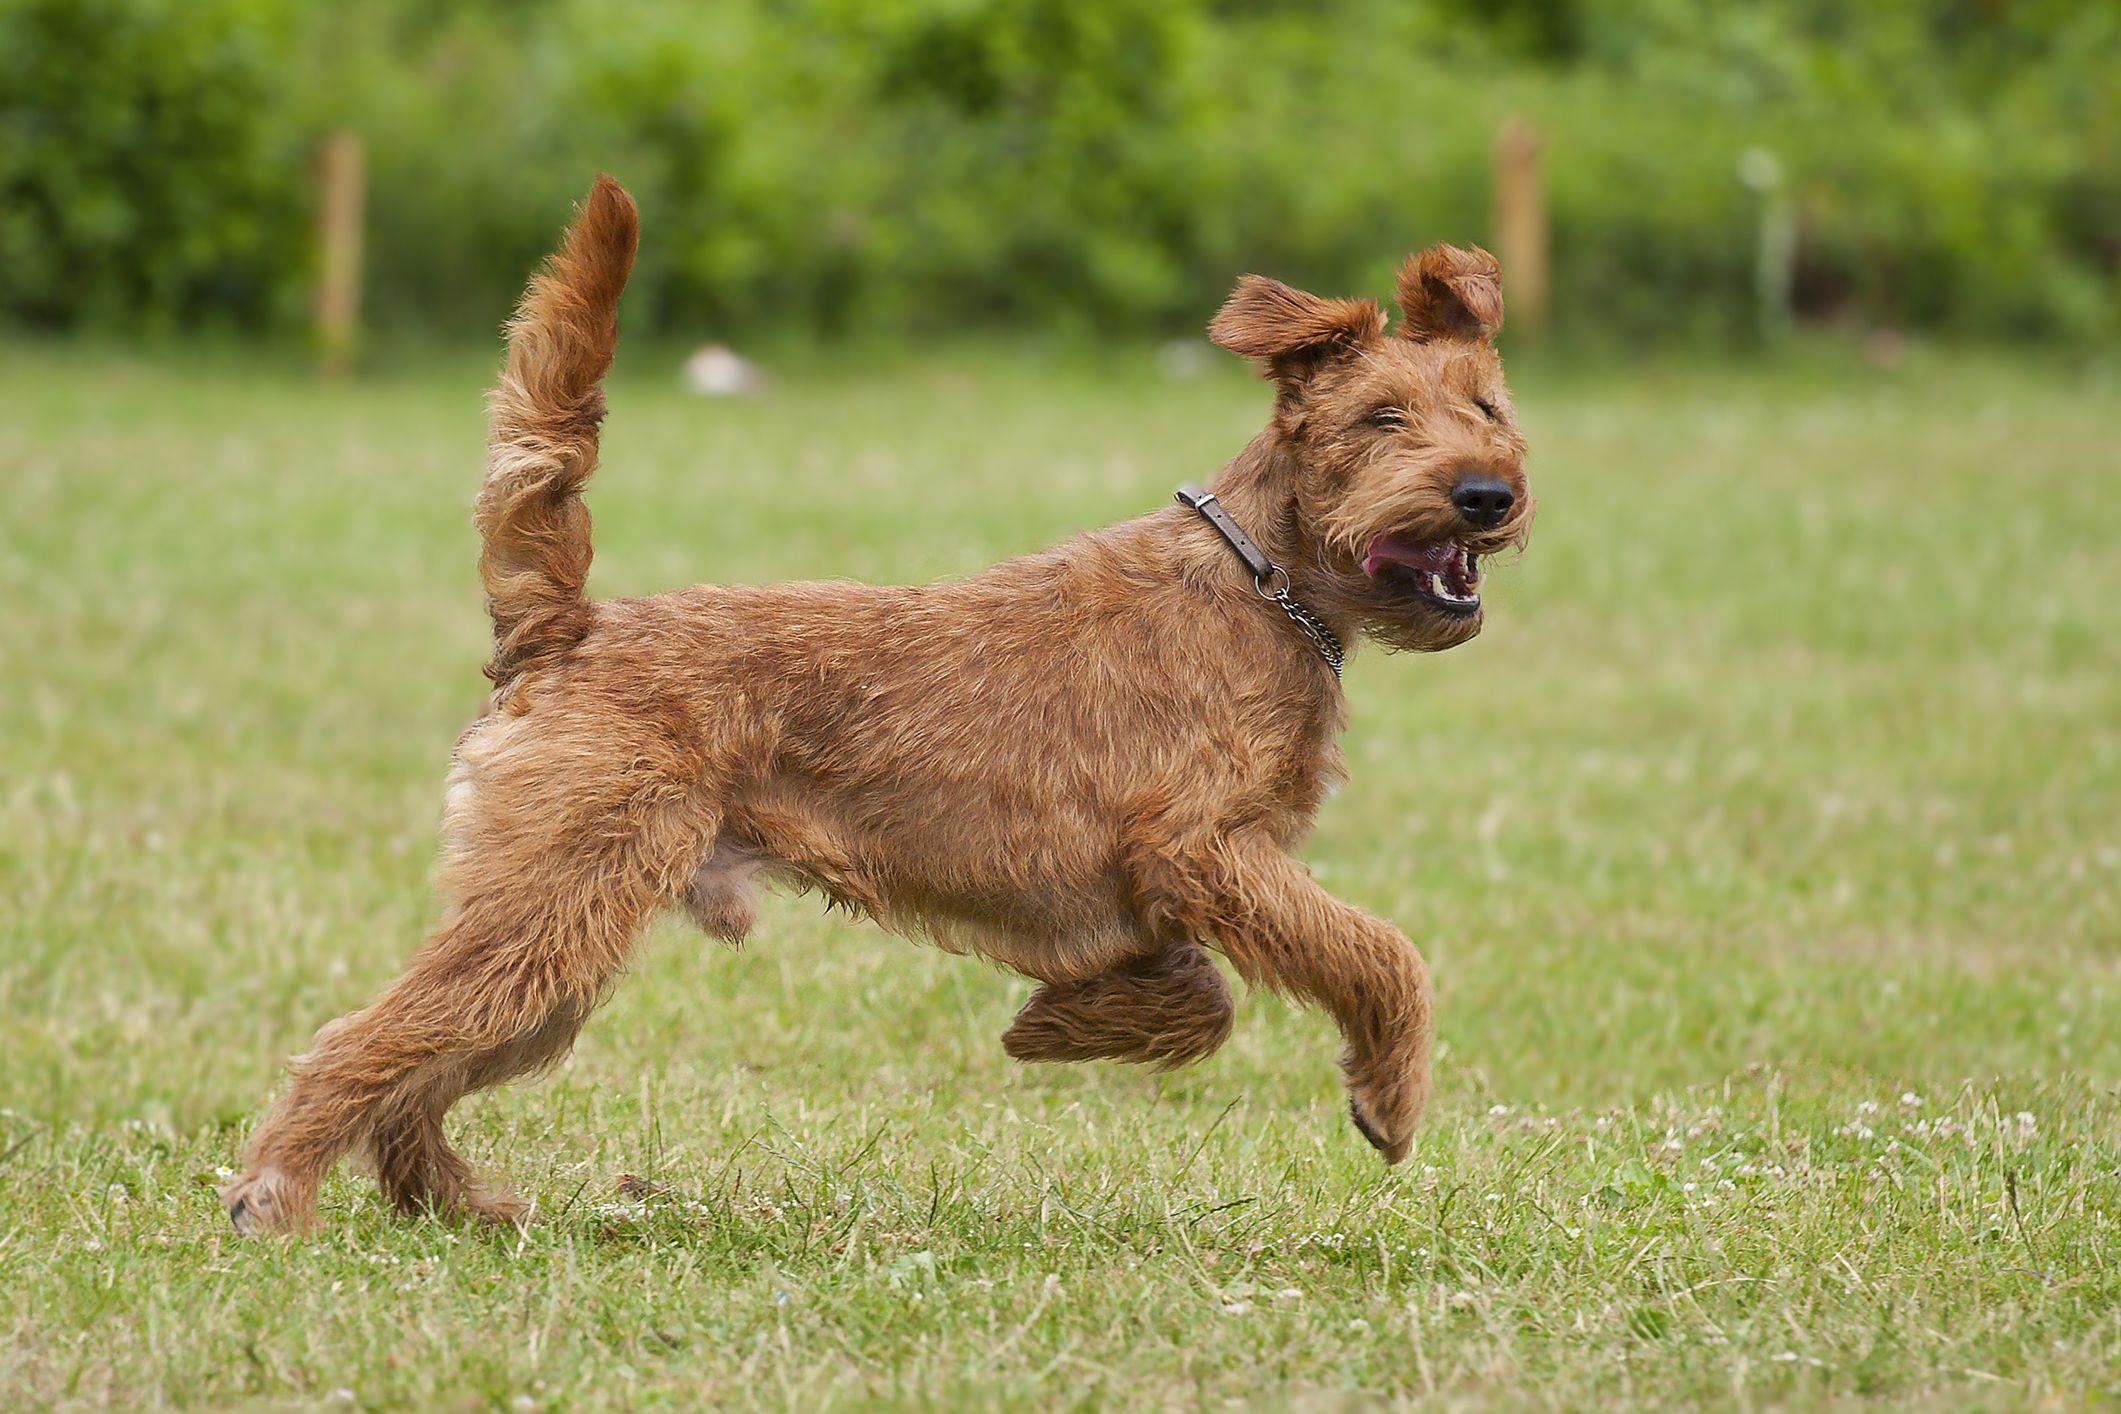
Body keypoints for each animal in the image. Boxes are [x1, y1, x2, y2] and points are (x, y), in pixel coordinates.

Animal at [223, 177, 1535, 1229]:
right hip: (559, 900)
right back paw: (274, 1197)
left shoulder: (1176, 878)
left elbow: (1203, 992)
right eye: (1381, 419)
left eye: (1490, 408)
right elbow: (1380, 951)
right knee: (365, 1042)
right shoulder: (1203, 847)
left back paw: (450, 1200)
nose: (1488, 494)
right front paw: (1387, 1097)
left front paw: (1066, 1025)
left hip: (557, 936)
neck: (1266, 582)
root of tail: (567, 627)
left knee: (422, 1066)